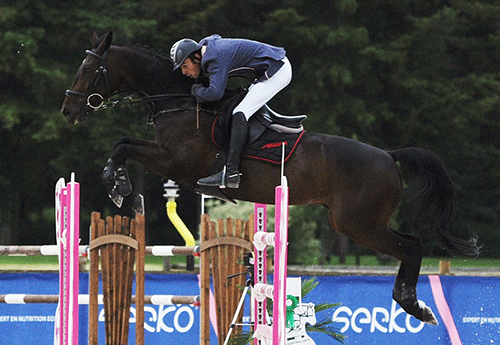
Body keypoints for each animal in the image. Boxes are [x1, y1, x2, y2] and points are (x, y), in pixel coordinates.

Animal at [60, 30, 478, 324]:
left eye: (88, 71)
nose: (67, 110)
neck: (180, 99)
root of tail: (389, 157)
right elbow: (123, 142)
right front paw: (119, 184)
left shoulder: (176, 162)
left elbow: (124, 146)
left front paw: (118, 184)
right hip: (360, 221)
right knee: (412, 243)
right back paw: (415, 303)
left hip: (357, 223)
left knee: (411, 248)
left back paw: (414, 305)